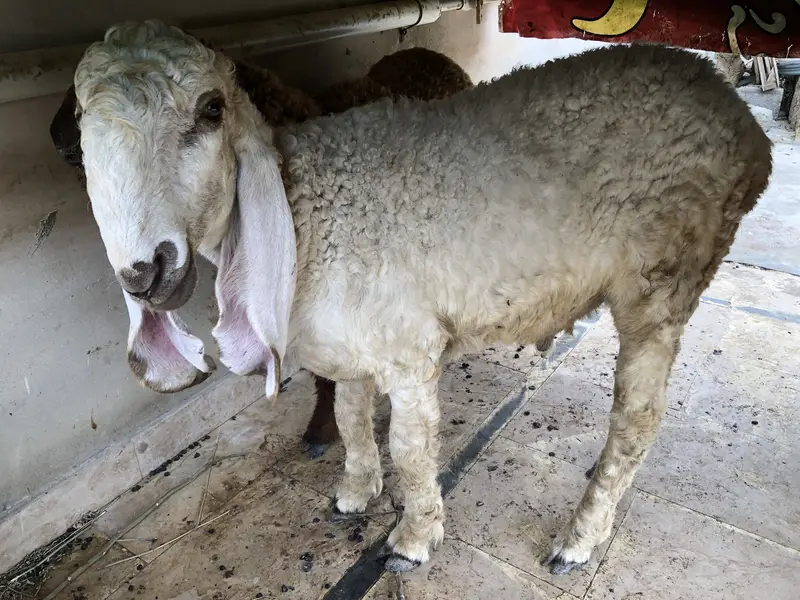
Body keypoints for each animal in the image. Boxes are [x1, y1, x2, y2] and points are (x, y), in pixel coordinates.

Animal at [72, 20, 772, 576]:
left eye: (211, 109)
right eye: (82, 129)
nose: (145, 270)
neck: (311, 207)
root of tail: (736, 111)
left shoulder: (408, 349)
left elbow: (411, 452)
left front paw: (412, 536)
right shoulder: (349, 343)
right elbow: (351, 420)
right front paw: (355, 491)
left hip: (662, 281)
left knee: (637, 420)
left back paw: (580, 538)